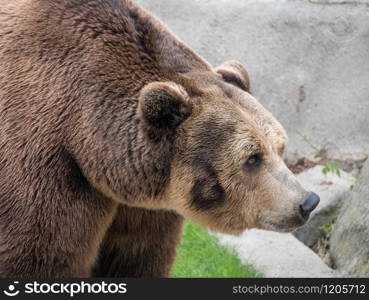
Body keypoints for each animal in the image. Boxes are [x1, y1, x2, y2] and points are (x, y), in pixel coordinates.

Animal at [0, 0, 318, 278]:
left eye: (280, 146)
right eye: (252, 158)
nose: (307, 202)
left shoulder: (147, 208)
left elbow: (136, 260)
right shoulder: (49, 171)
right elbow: (39, 258)